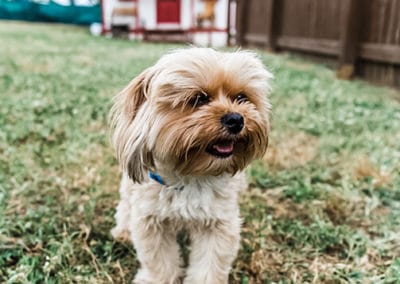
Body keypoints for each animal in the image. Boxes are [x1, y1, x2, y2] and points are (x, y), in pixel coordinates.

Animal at [109, 47, 272, 282]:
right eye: (198, 99)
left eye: (241, 97)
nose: (236, 119)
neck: (191, 175)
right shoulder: (150, 220)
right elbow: (159, 262)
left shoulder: (219, 223)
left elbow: (210, 265)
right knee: (125, 206)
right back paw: (122, 232)